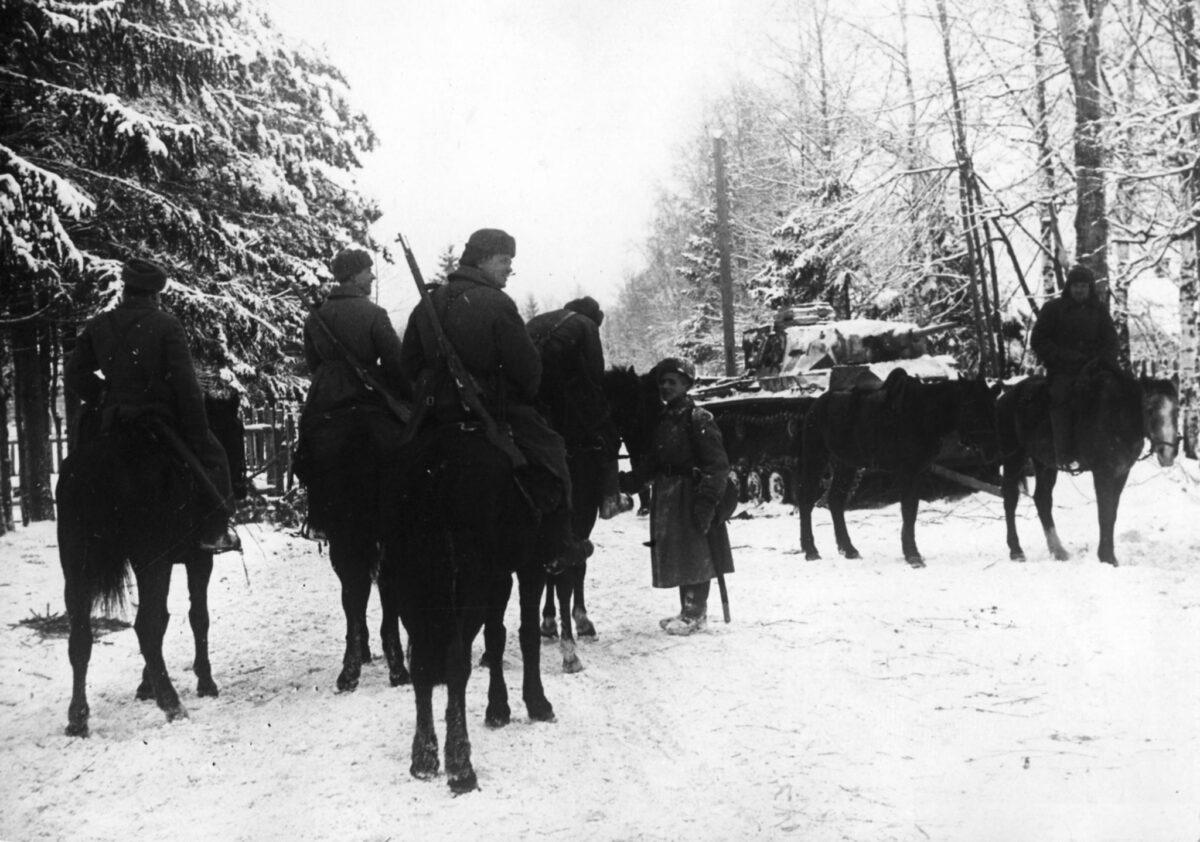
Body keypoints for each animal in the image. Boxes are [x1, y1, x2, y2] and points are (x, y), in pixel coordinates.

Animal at [796, 371, 1003, 570]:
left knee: (835, 501)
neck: (923, 415)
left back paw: (848, 549)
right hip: (816, 457)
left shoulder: (919, 470)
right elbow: (908, 510)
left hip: (846, 464)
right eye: (971, 409)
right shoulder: (908, 471)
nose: (992, 449)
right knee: (806, 500)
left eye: (993, 408)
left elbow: (912, 510)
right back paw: (810, 550)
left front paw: (911, 553)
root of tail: (816, 404)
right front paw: (913, 555)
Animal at [993, 364, 1180, 566]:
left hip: (1044, 463)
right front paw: (1107, 557)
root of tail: (1006, 396)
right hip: (1014, 458)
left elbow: (1112, 513)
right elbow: (1104, 513)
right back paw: (1016, 550)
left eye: (1176, 410)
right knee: (1010, 499)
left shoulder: (1121, 473)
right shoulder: (1103, 473)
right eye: (1150, 409)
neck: (1118, 414)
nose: (1167, 453)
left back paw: (1058, 551)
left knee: (1042, 499)